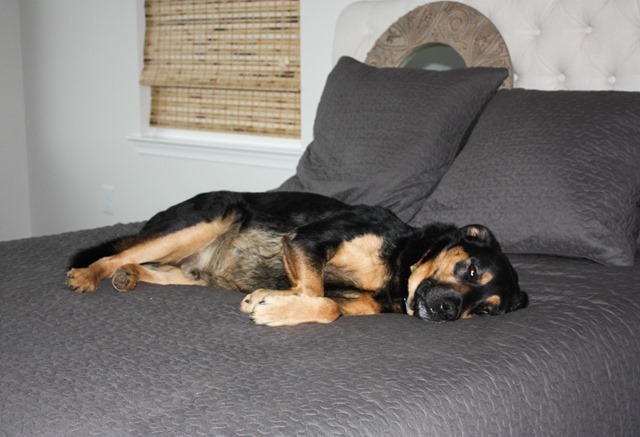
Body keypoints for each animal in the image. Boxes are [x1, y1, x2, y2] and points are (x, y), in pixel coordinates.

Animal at [65, 190, 528, 324]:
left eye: (485, 311)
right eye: (471, 269)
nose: (449, 312)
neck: (403, 262)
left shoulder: (353, 299)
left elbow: (327, 304)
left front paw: (275, 302)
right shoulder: (307, 241)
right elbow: (316, 292)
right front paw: (273, 304)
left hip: (192, 272)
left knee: (149, 266)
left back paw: (128, 275)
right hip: (207, 219)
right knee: (117, 255)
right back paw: (89, 275)